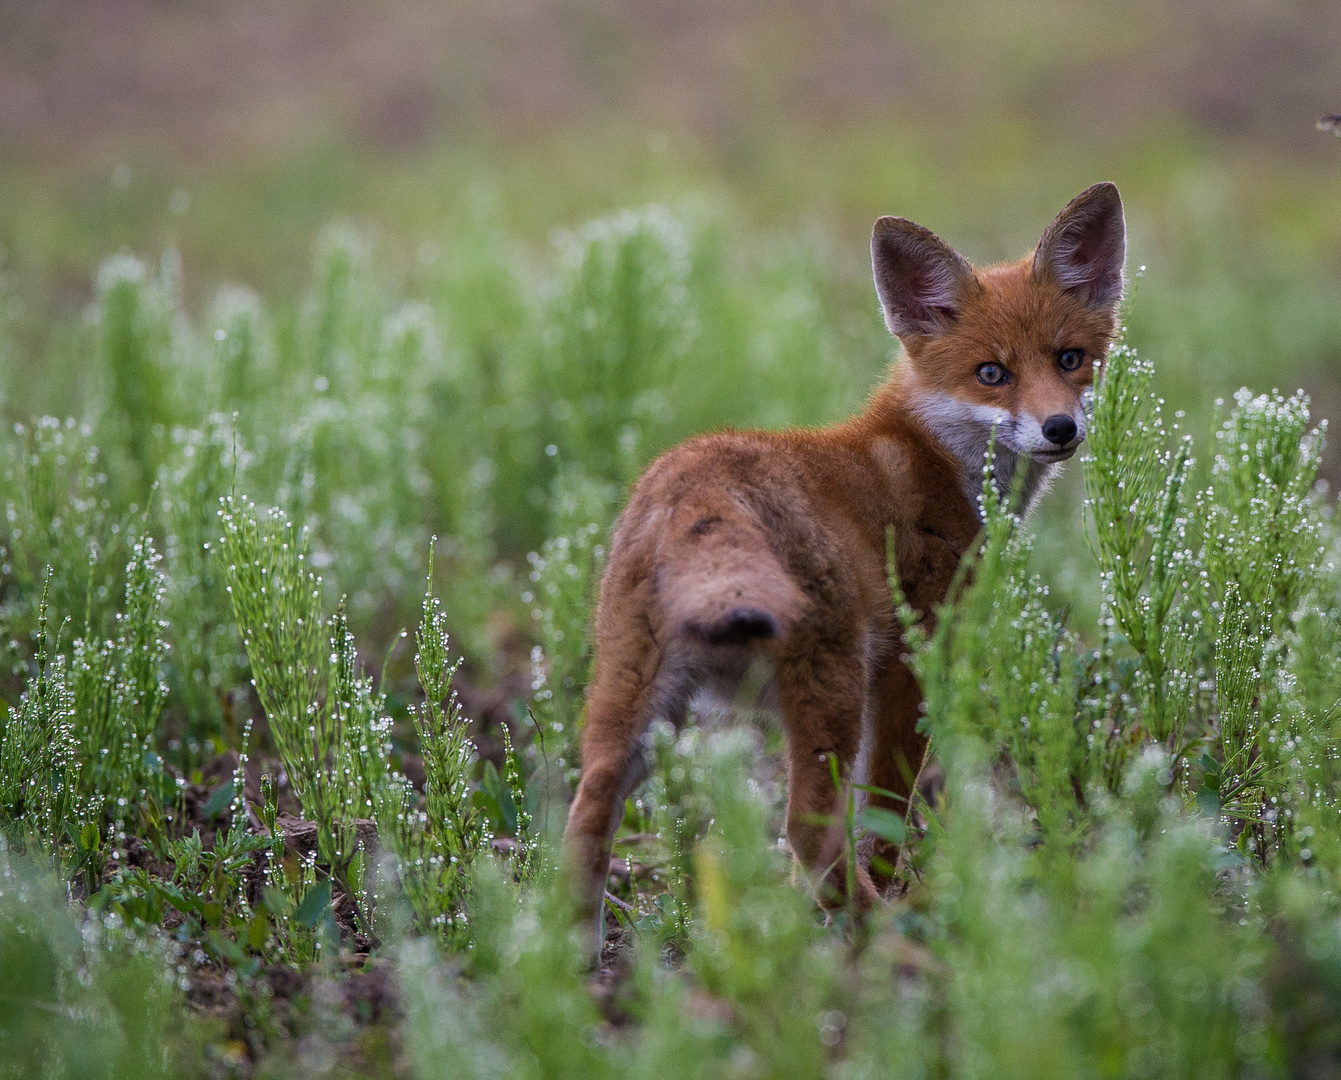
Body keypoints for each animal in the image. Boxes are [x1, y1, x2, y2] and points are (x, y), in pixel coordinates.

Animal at [560, 181, 1126, 949]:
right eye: (992, 374)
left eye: (1070, 359)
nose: (1059, 429)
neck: (934, 457)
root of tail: (689, 493)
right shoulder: (910, 661)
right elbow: (886, 808)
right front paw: (890, 889)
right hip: (830, 687)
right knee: (807, 827)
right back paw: (882, 935)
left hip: (636, 702)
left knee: (586, 811)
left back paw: (569, 960)